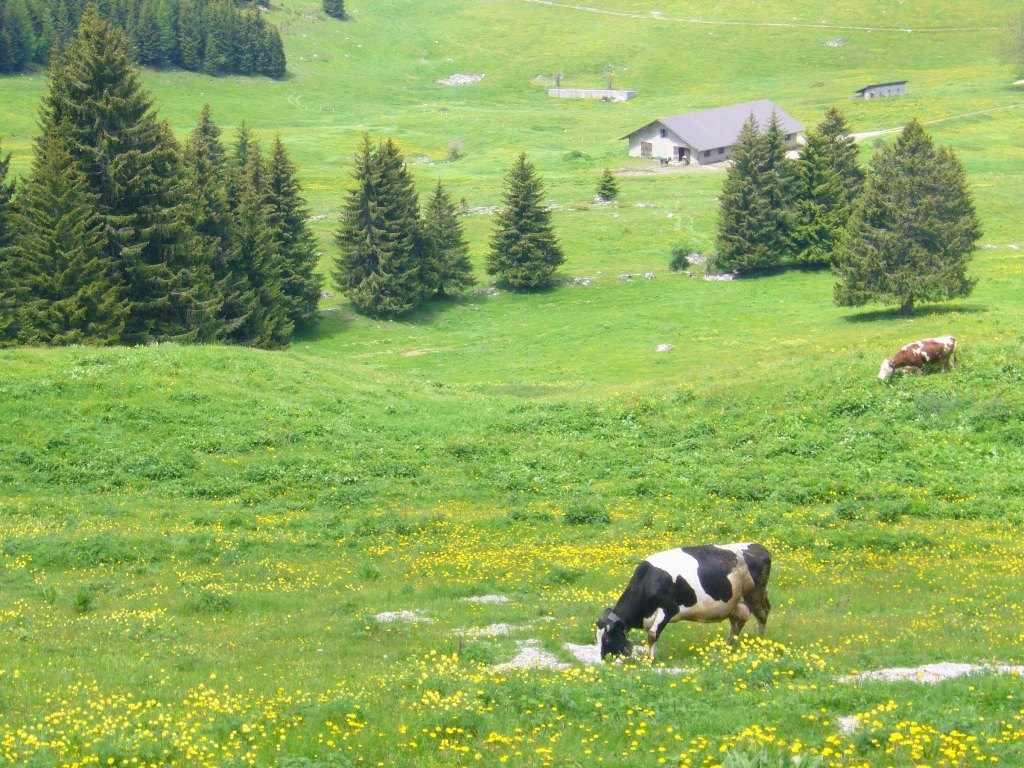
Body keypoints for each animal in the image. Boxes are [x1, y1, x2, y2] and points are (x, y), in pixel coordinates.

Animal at [598, 540, 770, 663]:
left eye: (606, 638)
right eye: (596, 638)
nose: (602, 660)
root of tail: (760, 547)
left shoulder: (668, 608)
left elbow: (653, 634)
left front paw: (649, 660)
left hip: (755, 595)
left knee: (763, 614)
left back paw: (761, 642)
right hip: (735, 604)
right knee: (737, 624)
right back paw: (726, 648)